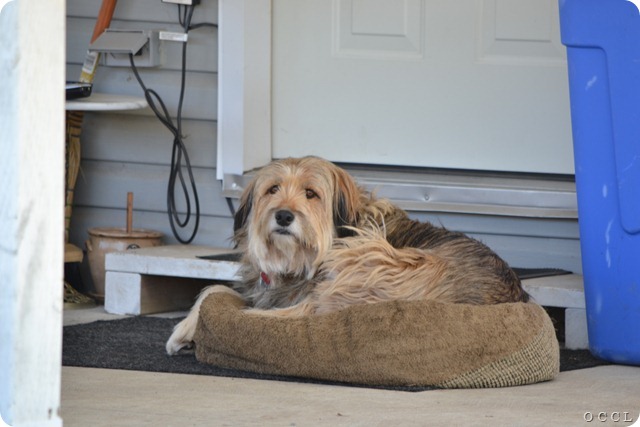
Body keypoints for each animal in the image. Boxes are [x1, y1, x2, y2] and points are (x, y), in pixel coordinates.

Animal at [166, 156, 529, 355]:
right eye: (272, 189)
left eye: (311, 193)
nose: (282, 216)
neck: (297, 261)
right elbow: (213, 289)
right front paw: (183, 328)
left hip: (369, 257)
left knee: (311, 311)